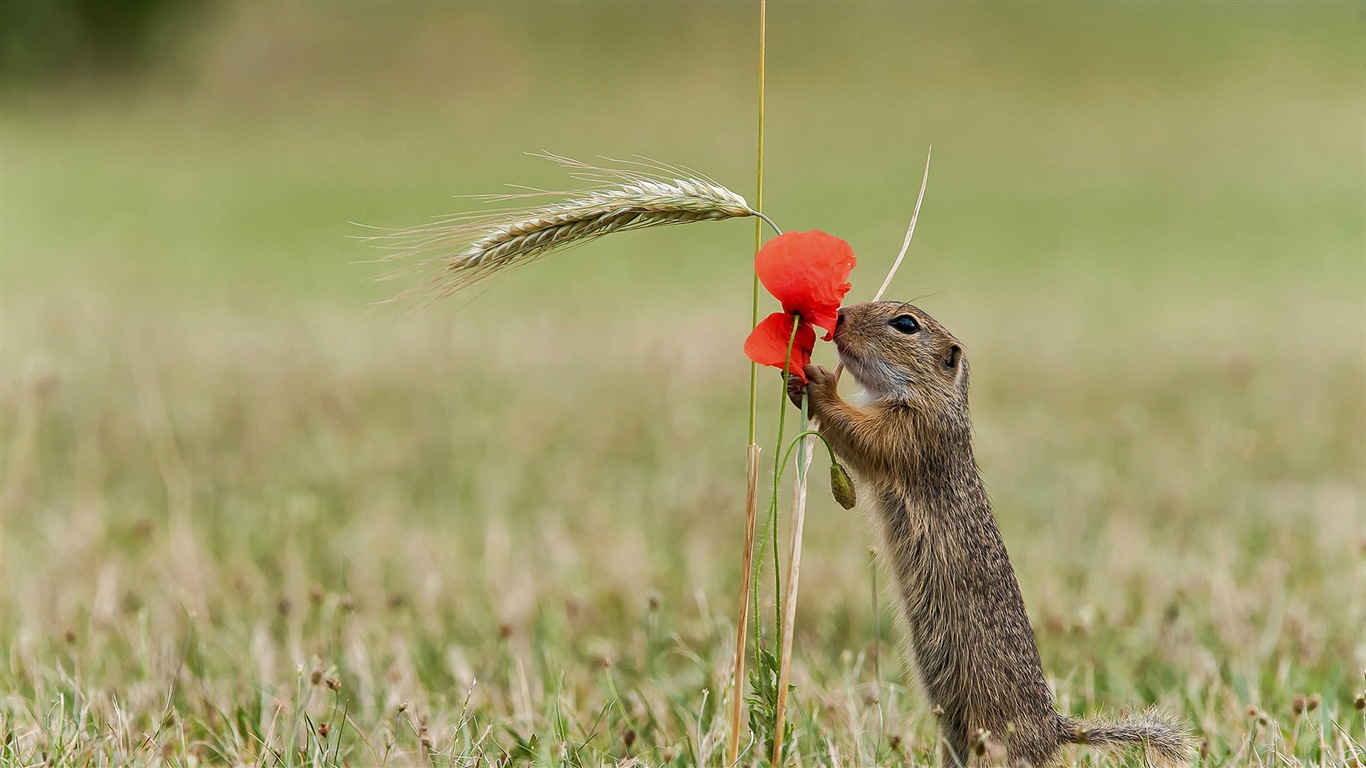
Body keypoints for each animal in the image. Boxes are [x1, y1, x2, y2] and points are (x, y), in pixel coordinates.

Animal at [792, 300, 1196, 765]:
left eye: (906, 324)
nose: (838, 316)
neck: (933, 397)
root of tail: (1053, 732)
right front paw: (795, 383)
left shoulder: (914, 431)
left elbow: (863, 436)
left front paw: (819, 383)